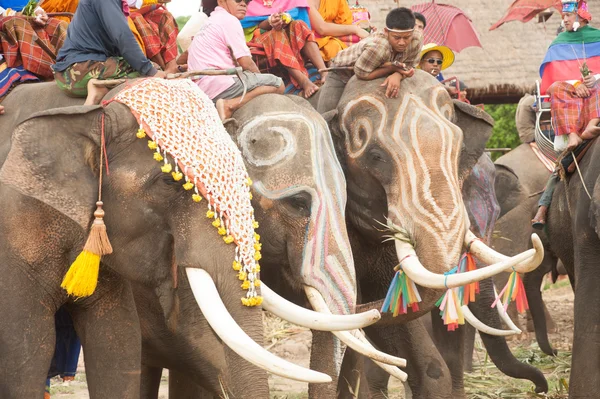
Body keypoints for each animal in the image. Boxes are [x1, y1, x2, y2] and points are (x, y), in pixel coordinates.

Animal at [0, 83, 380, 398]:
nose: (375, 310)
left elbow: (119, 343)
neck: (97, 113)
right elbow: (26, 350)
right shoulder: (17, 228)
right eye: (297, 203)